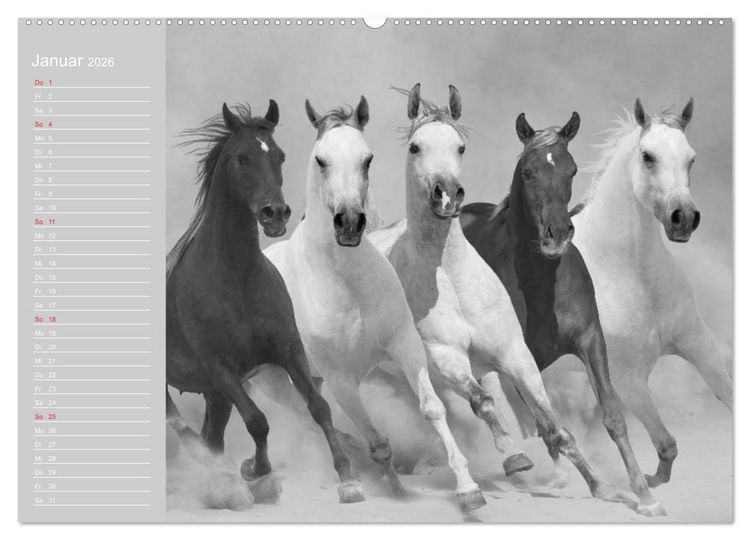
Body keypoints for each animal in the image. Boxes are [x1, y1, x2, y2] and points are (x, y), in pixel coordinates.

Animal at [165, 101, 364, 505]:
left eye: (280, 156)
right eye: (242, 158)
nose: (276, 213)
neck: (237, 278)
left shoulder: (287, 351)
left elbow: (319, 407)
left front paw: (348, 478)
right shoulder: (221, 368)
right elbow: (258, 420)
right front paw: (255, 471)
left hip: (216, 396)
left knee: (213, 435)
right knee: (179, 424)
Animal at [263, 96, 485, 513]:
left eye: (367, 159)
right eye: (320, 160)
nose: (349, 223)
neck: (348, 285)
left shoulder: (404, 346)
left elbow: (433, 408)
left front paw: (468, 488)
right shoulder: (341, 379)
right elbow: (377, 442)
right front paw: (389, 489)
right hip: (275, 381)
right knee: (314, 420)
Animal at [460, 112, 663, 516]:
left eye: (571, 170)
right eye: (527, 172)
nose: (557, 234)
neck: (542, 282)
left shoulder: (590, 339)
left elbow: (612, 415)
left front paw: (645, 496)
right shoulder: (520, 357)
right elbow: (551, 426)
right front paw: (597, 487)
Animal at [570, 98, 733, 488]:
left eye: (691, 158)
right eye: (648, 156)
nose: (683, 217)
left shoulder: (700, 346)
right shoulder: (627, 379)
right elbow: (666, 444)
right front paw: (647, 482)